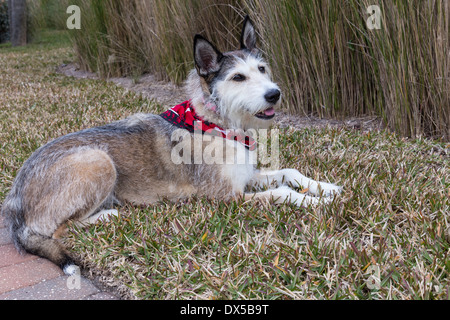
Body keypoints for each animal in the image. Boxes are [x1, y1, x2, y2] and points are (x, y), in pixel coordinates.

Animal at [0, 15, 342, 276]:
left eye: (261, 69)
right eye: (237, 77)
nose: (274, 94)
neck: (216, 124)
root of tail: (15, 201)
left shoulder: (246, 177)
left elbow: (289, 172)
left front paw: (326, 188)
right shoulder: (227, 197)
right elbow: (283, 192)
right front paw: (315, 202)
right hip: (97, 161)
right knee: (58, 230)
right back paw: (109, 215)